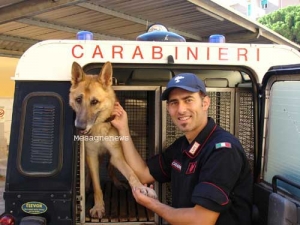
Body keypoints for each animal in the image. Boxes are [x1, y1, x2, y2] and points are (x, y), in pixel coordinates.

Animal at [68, 61, 157, 218]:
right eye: (78, 100)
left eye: (94, 101)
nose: (79, 127)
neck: (99, 128)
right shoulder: (91, 155)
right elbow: (97, 185)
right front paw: (98, 206)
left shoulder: (117, 155)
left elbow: (131, 173)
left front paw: (141, 188)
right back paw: (87, 185)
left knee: (110, 168)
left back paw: (117, 183)